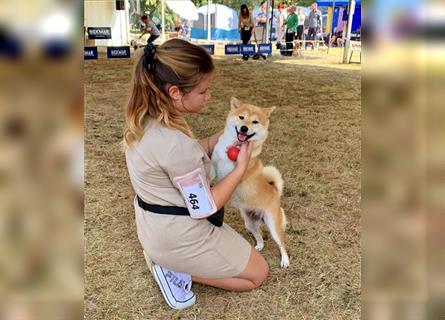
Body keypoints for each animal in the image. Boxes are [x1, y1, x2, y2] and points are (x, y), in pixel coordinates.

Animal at [211, 97, 288, 268]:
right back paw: (259, 246)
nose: (244, 128)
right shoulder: (214, 160)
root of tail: (275, 191)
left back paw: (285, 260)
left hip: (273, 224)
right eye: (241, 117)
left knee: (282, 243)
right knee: (259, 235)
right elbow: (210, 168)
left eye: (255, 122)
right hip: (249, 222)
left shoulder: (231, 174)